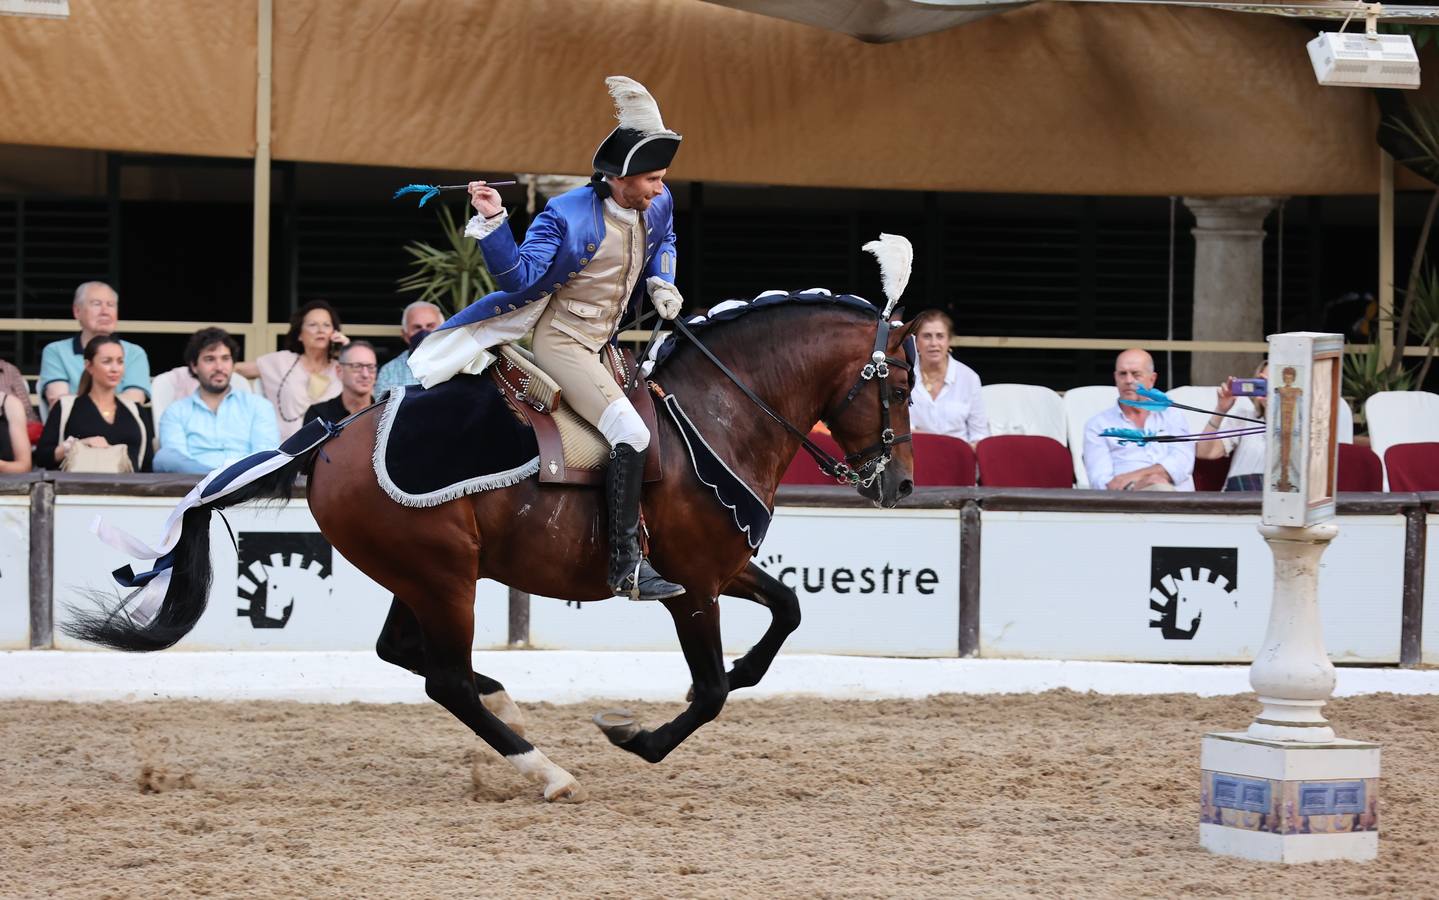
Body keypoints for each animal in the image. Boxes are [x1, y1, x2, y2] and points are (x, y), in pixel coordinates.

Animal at [64, 295, 909, 800]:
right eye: (897, 383)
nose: (899, 483)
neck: (714, 416)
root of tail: (331, 436)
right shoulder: (694, 585)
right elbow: (707, 693)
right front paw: (635, 737)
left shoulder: (722, 568)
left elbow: (785, 616)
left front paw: (706, 689)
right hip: (444, 576)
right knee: (443, 680)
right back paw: (543, 767)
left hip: (420, 577)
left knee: (406, 654)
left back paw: (506, 698)